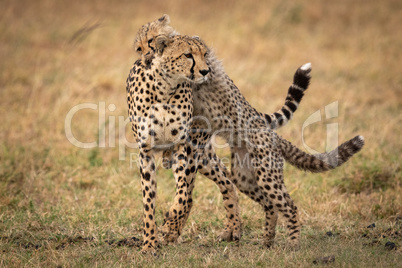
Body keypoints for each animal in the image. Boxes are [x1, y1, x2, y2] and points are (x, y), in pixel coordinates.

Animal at [133, 14, 366, 249]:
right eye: (139, 47)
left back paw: (291, 244)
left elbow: (183, 192)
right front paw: (156, 236)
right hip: (243, 175)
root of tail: (271, 134)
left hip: (266, 174)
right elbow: (159, 197)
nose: (146, 58)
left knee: (288, 205)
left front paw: (169, 224)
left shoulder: (191, 138)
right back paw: (265, 240)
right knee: (262, 200)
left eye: (201, 54)